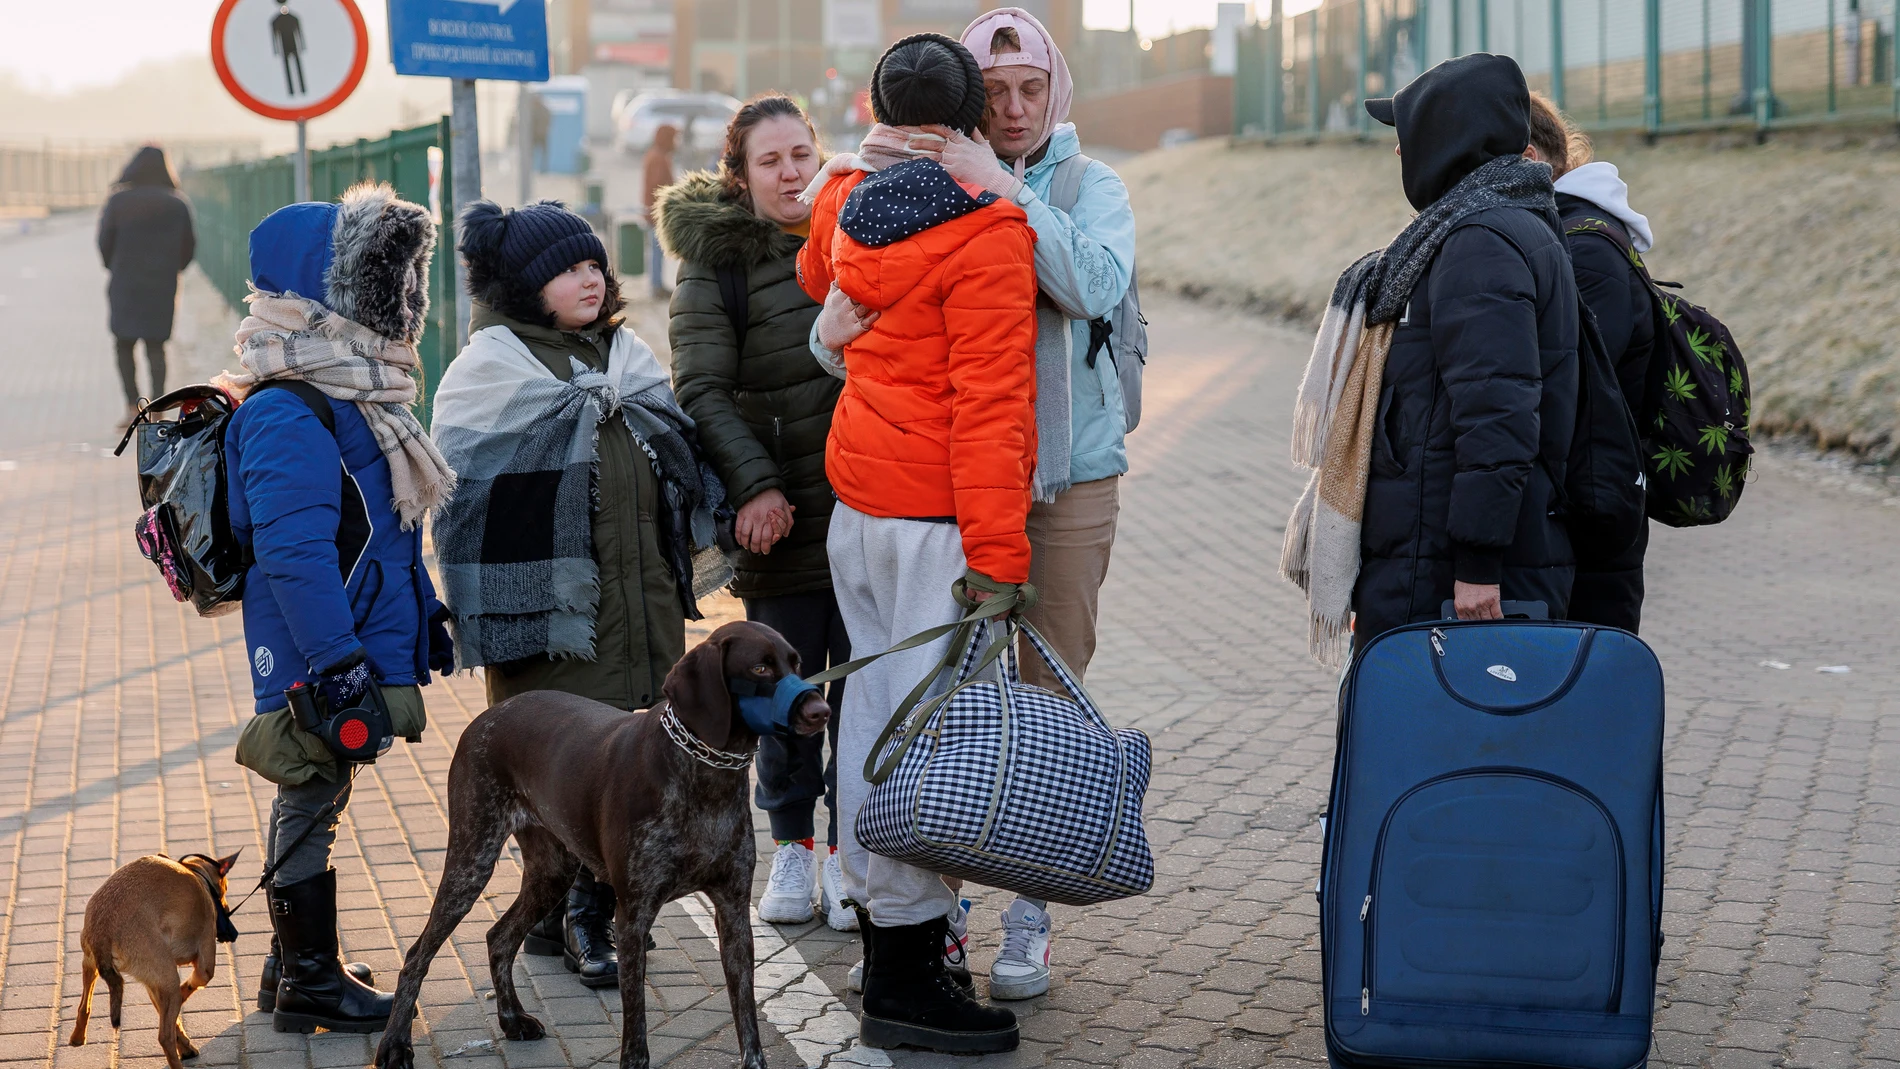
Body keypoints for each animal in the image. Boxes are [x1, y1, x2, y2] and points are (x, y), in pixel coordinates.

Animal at [69, 854, 243, 1069]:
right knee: (164, 1037)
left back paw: (77, 1037)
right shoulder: (204, 964)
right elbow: (195, 983)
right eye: (225, 889)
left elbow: (169, 1016)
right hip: (169, 979)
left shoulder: (154, 986)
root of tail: (103, 929)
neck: (196, 873)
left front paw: (184, 1045)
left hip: (91, 965)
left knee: (84, 1006)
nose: (231, 930)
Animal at [378, 618, 832, 1069]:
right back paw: (395, 1044)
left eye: (796, 664)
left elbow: (747, 1019)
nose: (822, 711)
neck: (705, 772)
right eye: (760, 668)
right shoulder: (633, 915)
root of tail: (485, 717)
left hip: (552, 872)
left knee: (499, 938)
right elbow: (636, 1028)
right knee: (417, 956)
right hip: (472, 861)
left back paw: (511, 1019)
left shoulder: (734, 910)